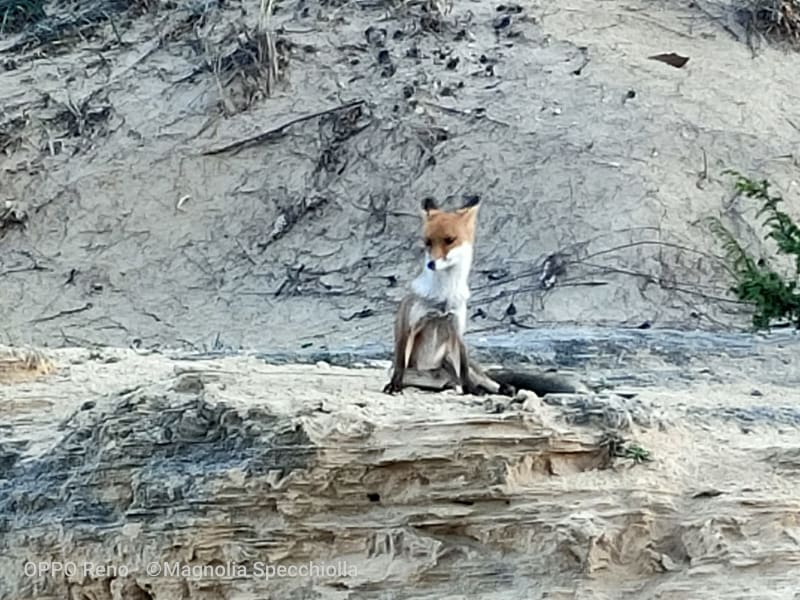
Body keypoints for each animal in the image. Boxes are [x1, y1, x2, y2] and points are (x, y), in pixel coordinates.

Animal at [383, 196, 586, 398]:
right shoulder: (408, 327)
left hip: (457, 363)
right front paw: (394, 385)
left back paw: (497, 389)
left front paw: (472, 390)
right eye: (427, 242)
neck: (444, 295)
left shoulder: (457, 329)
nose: (431, 264)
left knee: (485, 381)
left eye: (449, 240)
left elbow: (463, 369)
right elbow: (400, 364)